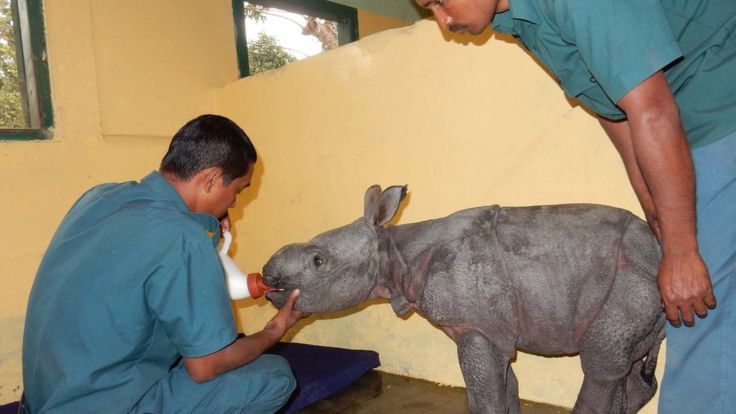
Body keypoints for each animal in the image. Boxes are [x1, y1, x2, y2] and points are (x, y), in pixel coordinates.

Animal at [264, 185, 665, 414]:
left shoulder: (477, 326)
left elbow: (485, 395)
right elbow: (505, 388)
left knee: (599, 364)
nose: (267, 276)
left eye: (318, 261)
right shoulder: (486, 328)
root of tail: (660, 251)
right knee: (625, 368)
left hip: (630, 277)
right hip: (643, 285)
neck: (393, 252)